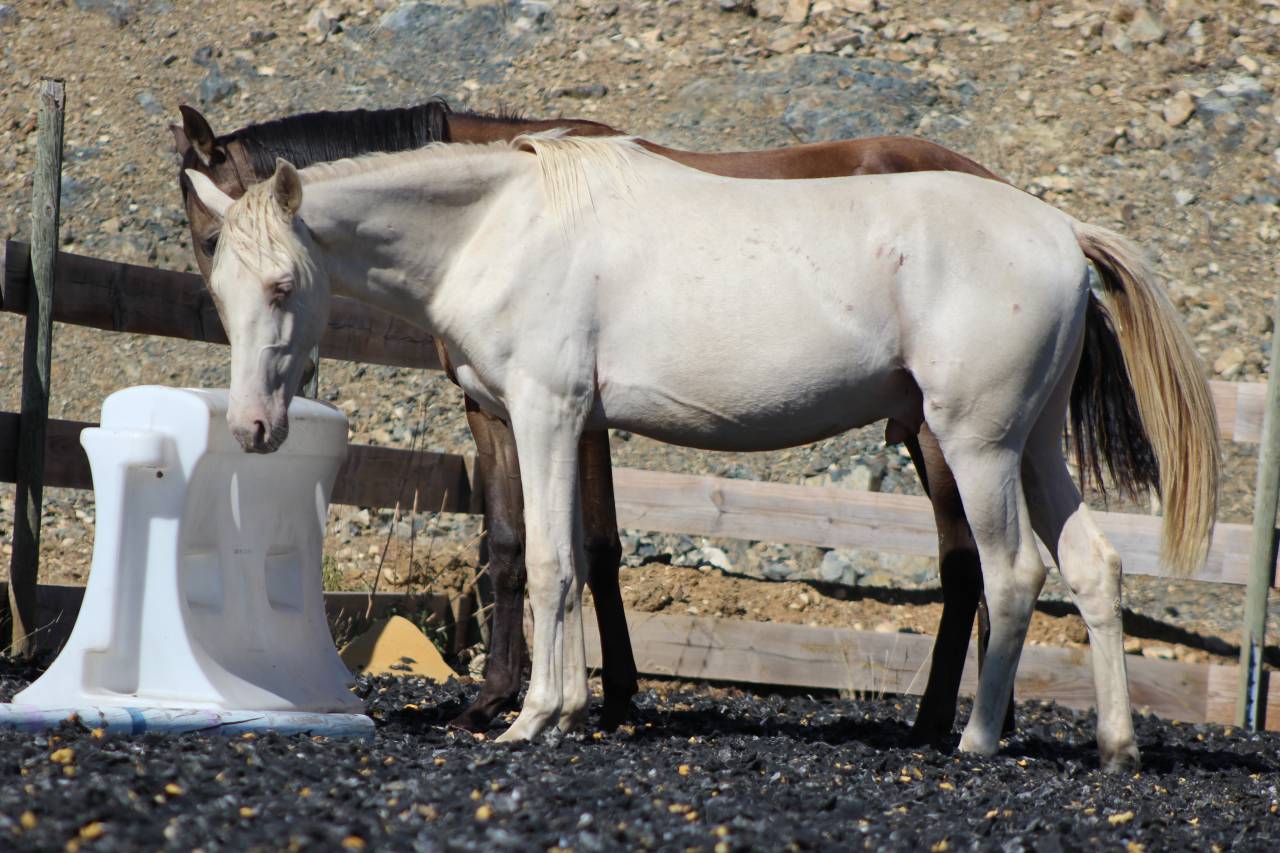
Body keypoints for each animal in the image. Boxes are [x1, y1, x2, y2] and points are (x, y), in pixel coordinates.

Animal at [185, 134, 1218, 771]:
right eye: (219, 289)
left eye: (283, 285)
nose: (255, 428)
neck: (500, 227)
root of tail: (1059, 231)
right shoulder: (572, 425)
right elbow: (577, 562)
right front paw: (568, 711)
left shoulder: (547, 412)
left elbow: (552, 562)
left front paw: (531, 719)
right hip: (1036, 445)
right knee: (1092, 567)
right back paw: (1116, 747)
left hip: (977, 444)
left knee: (1011, 574)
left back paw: (974, 741)